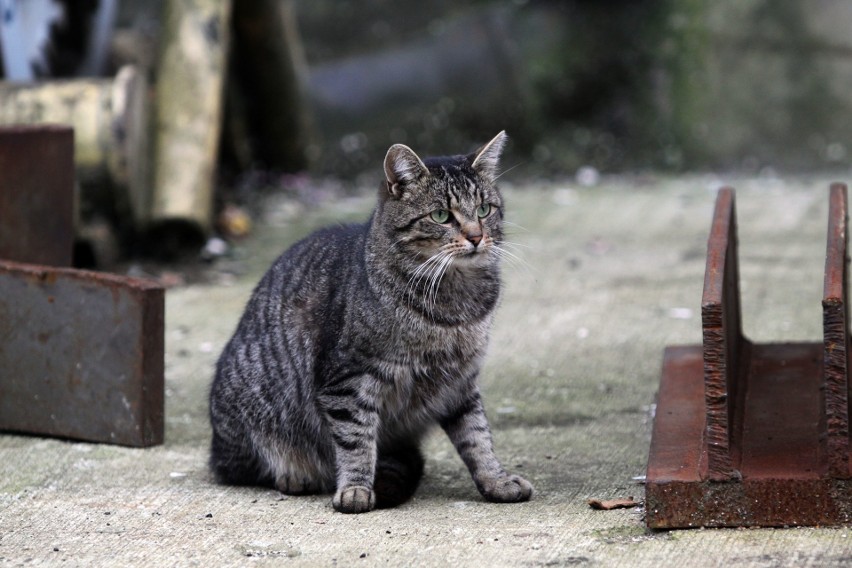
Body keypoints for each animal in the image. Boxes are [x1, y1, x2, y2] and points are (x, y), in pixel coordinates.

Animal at [209, 131, 532, 512]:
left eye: (484, 209)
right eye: (441, 215)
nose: (476, 236)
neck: (454, 302)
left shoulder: (460, 384)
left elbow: (478, 437)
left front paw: (496, 480)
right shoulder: (348, 381)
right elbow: (356, 441)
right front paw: (355, 490)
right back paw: (295, 475)